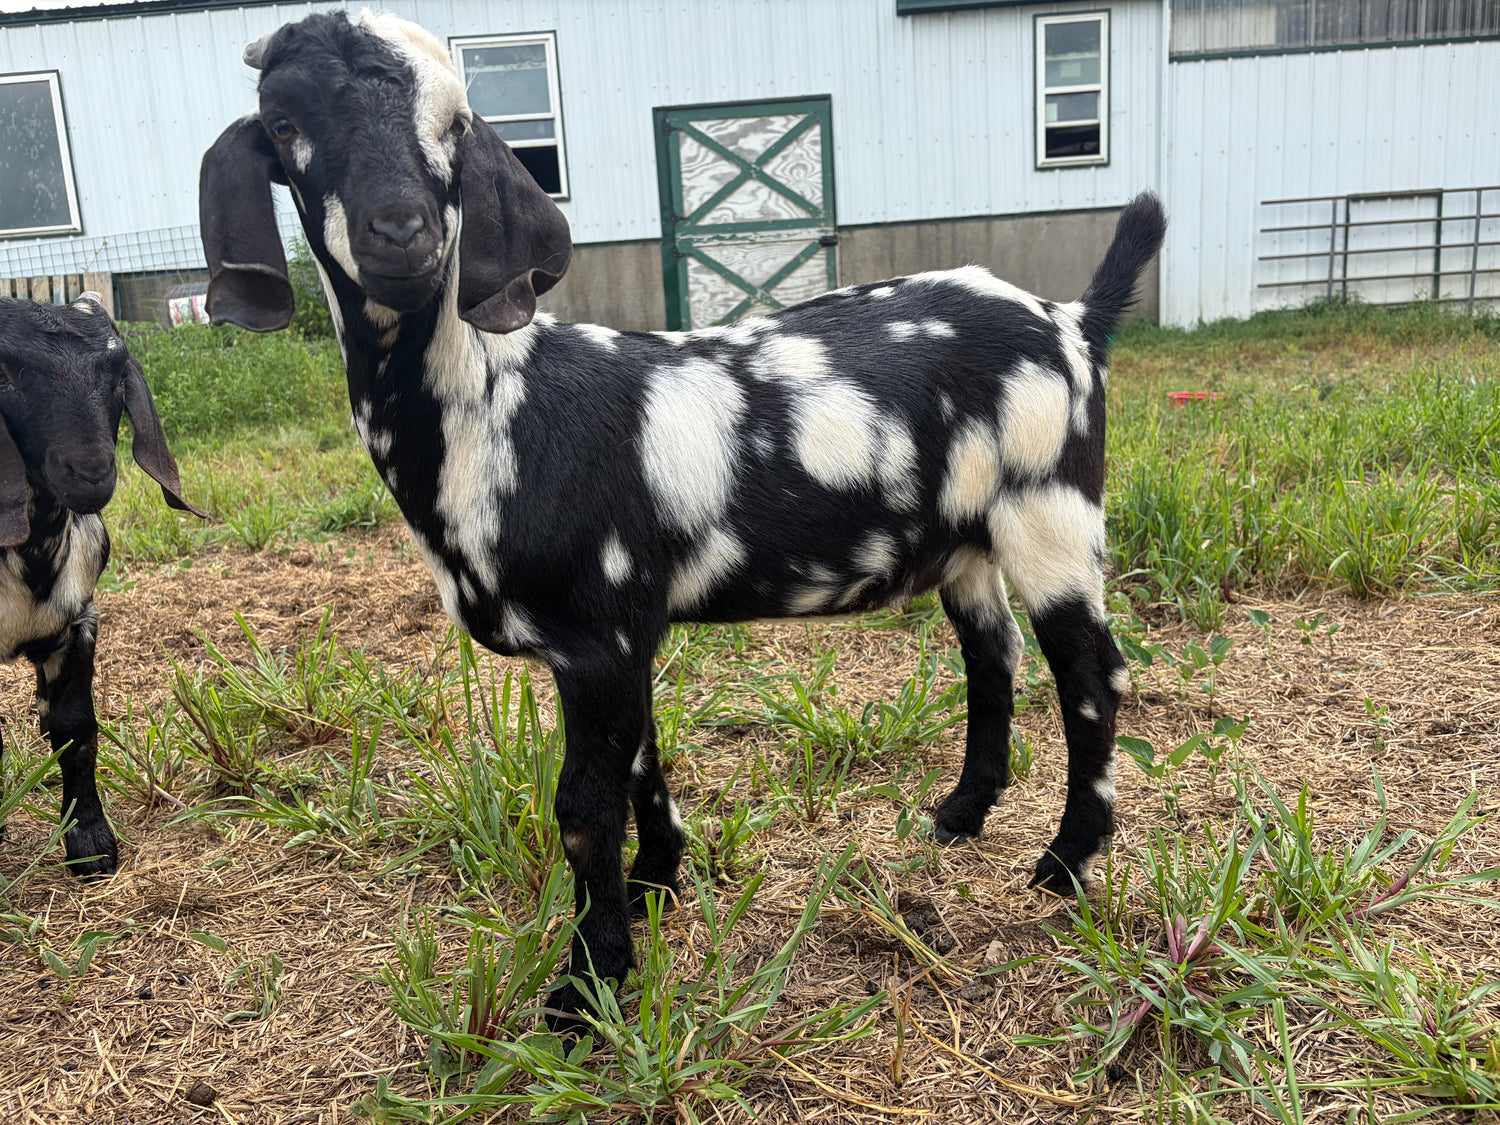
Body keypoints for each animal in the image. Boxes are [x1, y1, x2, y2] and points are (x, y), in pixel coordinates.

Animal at [0, 295, 205, 875]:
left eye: (116, 372)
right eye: (5, 373)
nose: (91, 472)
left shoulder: (78, 623)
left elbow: (76, 728)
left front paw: (89, 841)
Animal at [199, 10, 1166, 1027]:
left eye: (457, 122)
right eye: (283, 122)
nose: (401, 232)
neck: (502, 404)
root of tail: (1072, 321)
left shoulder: (597, 630)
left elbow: (585, 807)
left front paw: (589, 984)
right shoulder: (621, 632)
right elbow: (640, 763)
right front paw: (658, 881)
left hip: (1051, 512)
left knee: (1091, 676)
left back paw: (1067, 861)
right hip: (968, 540)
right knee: (993, 656)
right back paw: (962, 813)